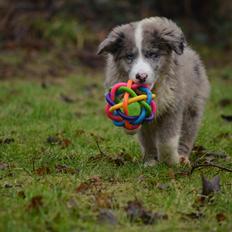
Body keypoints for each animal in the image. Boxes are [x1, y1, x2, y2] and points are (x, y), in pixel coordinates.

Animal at [97, 17, 209, 166]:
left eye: (152, 54)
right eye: (129, 56)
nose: (141, 76)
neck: (155, 89)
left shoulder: (172, 107)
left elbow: (167, 141)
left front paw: (172, 162)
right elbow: (146, 139)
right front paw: (151, 160)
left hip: (193, 107)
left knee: (187, 134)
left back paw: (183, 157)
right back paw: (150, 160)